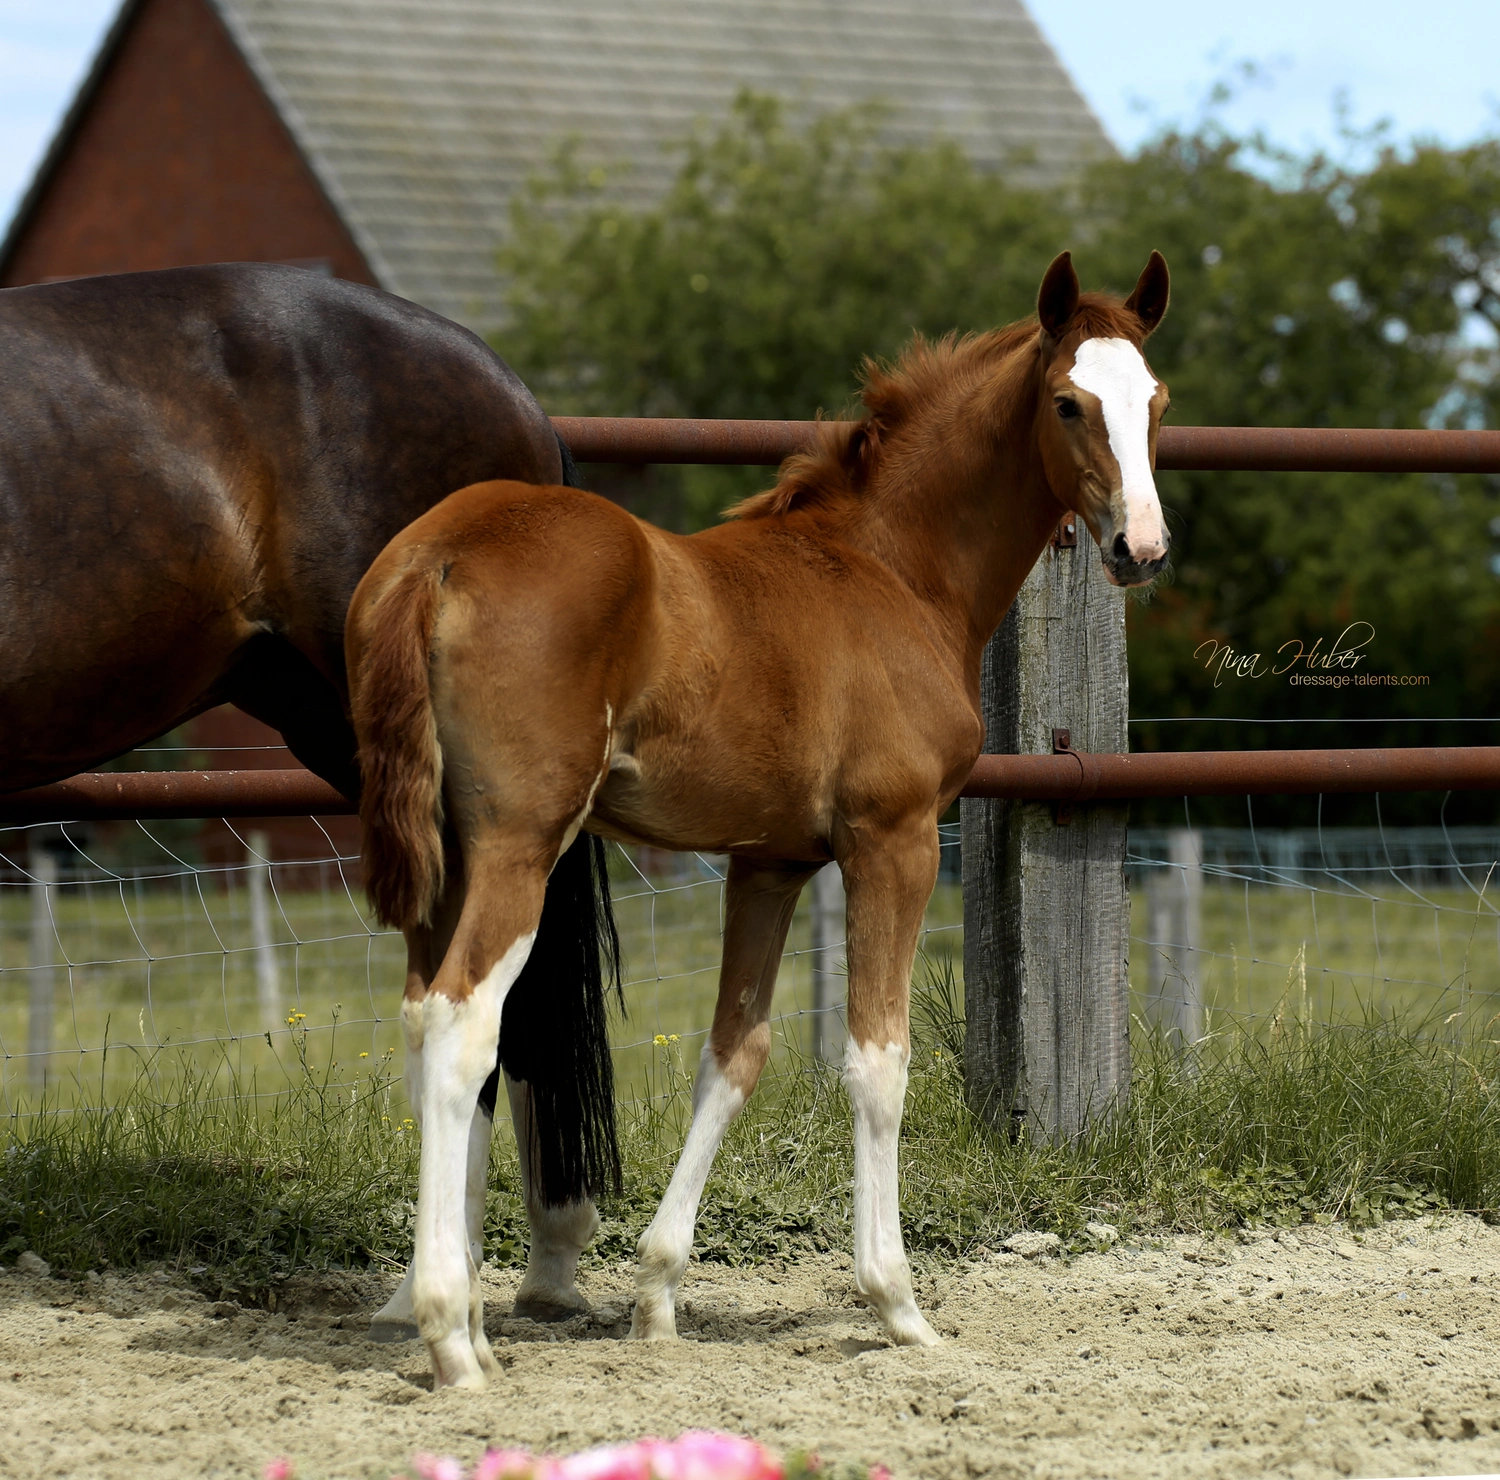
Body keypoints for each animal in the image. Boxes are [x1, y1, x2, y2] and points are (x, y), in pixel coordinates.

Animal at [346, 248, 1173, 1388]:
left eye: (1158, 401)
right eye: (1067, 402)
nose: (1142, 547)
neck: (892, 571)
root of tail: (438, 554)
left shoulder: (769, 861)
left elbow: (734, 1055)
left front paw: (657, 1294)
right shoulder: (891, 840)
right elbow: (878, 1060)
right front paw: (896, 1301)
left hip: (448, 858)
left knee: (424, 1021)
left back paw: (456, 1314)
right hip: (520, 841)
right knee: (465, 1020)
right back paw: (448, 1336)